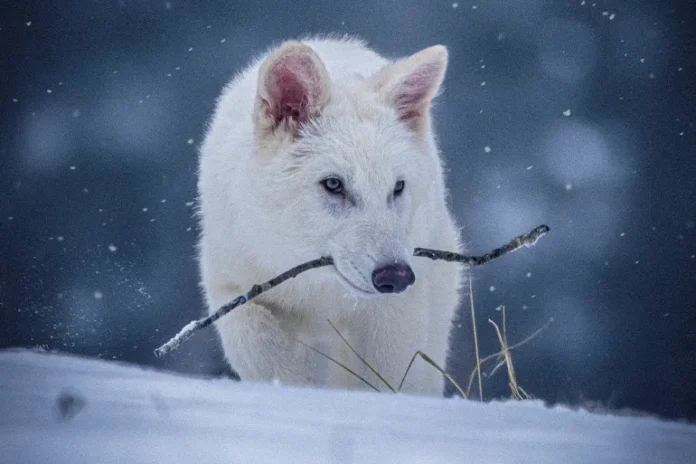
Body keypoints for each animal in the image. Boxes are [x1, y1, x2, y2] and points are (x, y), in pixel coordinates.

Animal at [198, 36, 464, 396]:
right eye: (334, 184)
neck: (319, 289)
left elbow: (385, 380)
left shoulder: (394, 314)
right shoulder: (232, 287)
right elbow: (260, 349)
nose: (395, 276)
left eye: (397, 187)